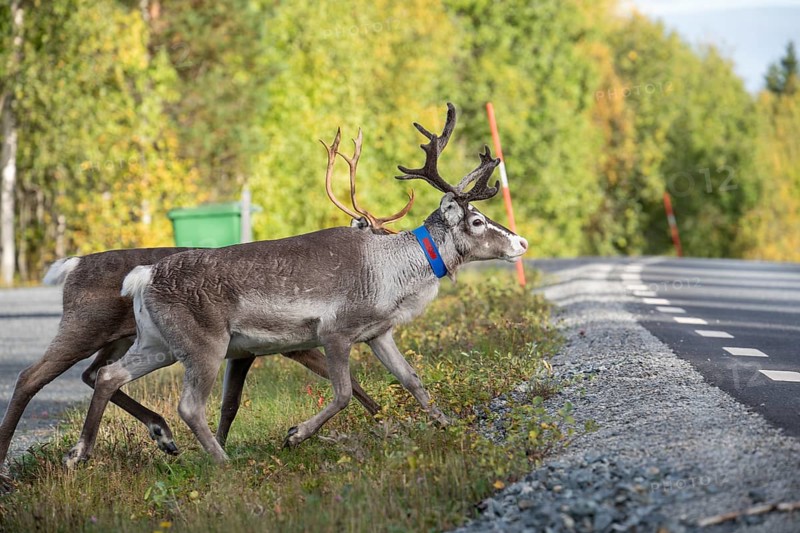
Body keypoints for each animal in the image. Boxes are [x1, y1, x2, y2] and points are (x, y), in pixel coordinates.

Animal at [0, 134, 412, 480]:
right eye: (381, 233)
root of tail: (74, 265)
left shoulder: (249, 350)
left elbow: (232, 402)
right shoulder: (292, 344)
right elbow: (350, 382)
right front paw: (385, 420)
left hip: (123, 338)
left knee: (93, 374)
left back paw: (161, 434)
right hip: (84, 325)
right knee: (30, 377)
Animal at [64, 103, 528, 466]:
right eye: (477, 221)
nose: (521, 241)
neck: (392, 271)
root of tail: (144, 277)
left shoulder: (379, 333)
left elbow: (413, 381)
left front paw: (448, 425)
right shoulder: (335, 332)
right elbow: (343, 393)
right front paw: (295, 435)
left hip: (157, 342)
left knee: (109, 375)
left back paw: (80, 454)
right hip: (204, 345)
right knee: (188, 405)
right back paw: (223, 461)